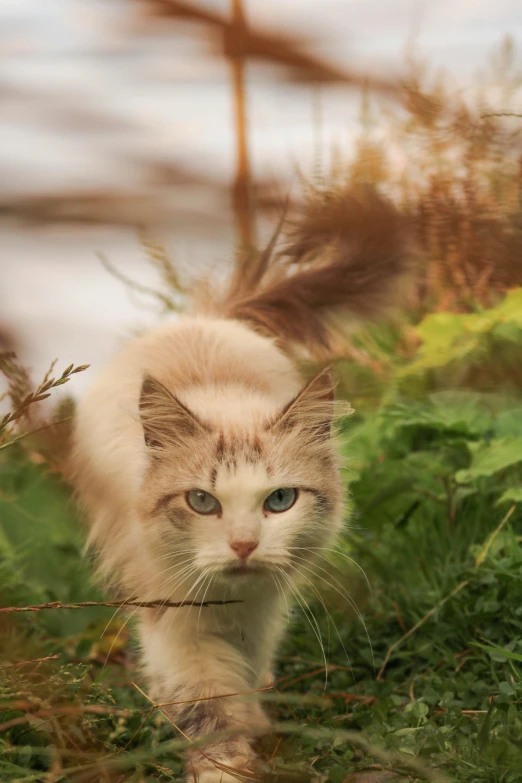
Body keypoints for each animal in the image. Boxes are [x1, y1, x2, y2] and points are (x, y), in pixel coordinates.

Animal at [71, 187, 410, 780]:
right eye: (202, 502)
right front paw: (225, 765)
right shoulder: (175, 622)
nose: (245, 545)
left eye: (280, 500)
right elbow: (208, 704)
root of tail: (206, 318)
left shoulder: (263, 607)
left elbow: (246, 673)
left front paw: (254, 726)